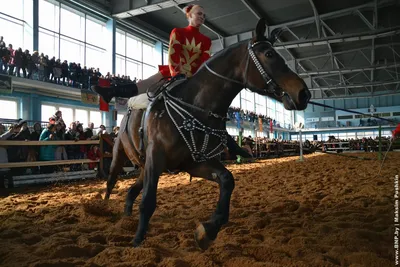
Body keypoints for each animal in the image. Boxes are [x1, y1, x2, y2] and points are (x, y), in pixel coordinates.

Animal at [104, 19, 310, 251]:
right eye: (269, 54)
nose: (304, 93)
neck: (194, 105)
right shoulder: (156, 157)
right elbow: (148, 201)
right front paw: (138, 239)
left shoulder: (193, 162)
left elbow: (227, 180)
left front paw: (208, 229)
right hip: (121, 155)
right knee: (111, 182)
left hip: (145, 166)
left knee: (132, 189)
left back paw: (126, 217)